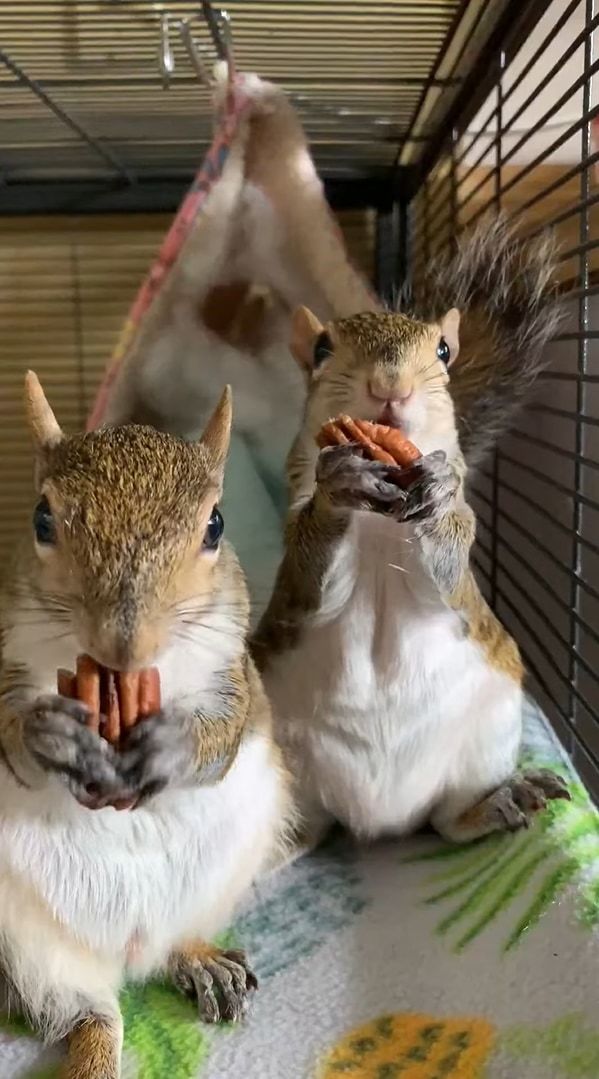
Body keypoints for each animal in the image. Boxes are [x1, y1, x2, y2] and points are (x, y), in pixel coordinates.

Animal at [0, 373, 293, 1079]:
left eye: (216, 524)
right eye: (41, 519)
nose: (123, 646)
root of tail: (123, 956)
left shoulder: (235, 671)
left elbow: (225, 732)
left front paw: (173, 745)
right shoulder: (6, 660)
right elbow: (8, 735)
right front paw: (49, 738)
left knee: (167, 951)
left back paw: (200, 961)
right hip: (21, 942)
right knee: (89, 1016)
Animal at [250, 216, 569, 858]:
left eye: (443, 351)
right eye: (321, 350)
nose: (390, 386)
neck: (380, 523)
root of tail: (379, 822)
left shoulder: (459, 562)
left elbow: (447, 556)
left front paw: (440, 492)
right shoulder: (298, 569)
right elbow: (310, 561)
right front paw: (340, 483)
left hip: (487, 737)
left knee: (447, 822)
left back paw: (501, 802)